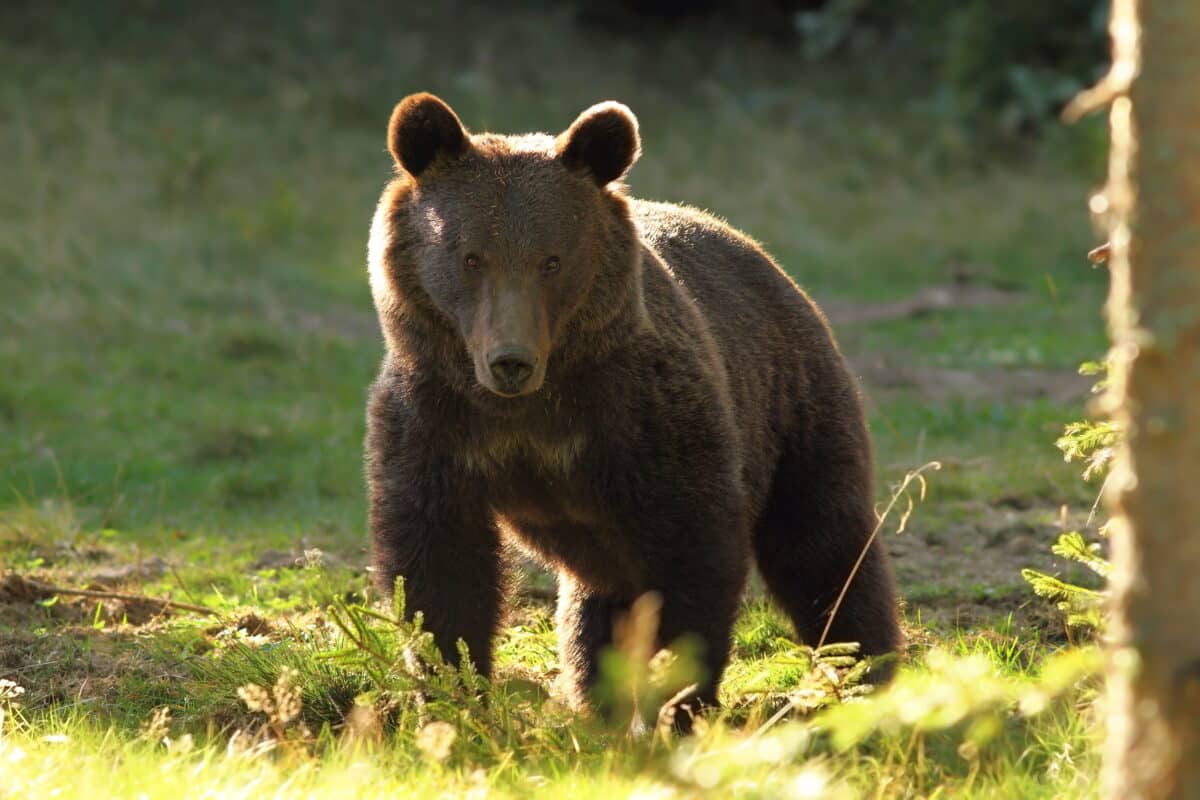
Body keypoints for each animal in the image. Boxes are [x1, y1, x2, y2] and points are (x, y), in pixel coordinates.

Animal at [364, 90, 902, 724]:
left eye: (552, 260)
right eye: (472, 257)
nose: (510, 361)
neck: (532, 408)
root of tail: (763, 258)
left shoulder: (643, 417)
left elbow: (693, 550)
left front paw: (683, 699)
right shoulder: (436, 421)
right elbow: (438, 569)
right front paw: (455, 692)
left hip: (793, 402)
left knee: (824, 543)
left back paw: (865, 669)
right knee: (595, 603)